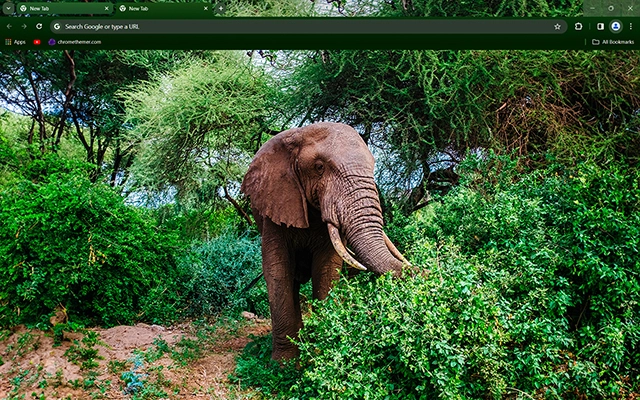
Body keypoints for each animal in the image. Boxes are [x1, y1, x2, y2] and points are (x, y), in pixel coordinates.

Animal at [241, 122, 411, 360]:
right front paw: (283, 364)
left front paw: (319, 350)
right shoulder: (275, 204)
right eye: (319, 167)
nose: (425, 272)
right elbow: (277, 269)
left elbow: (327, 269)